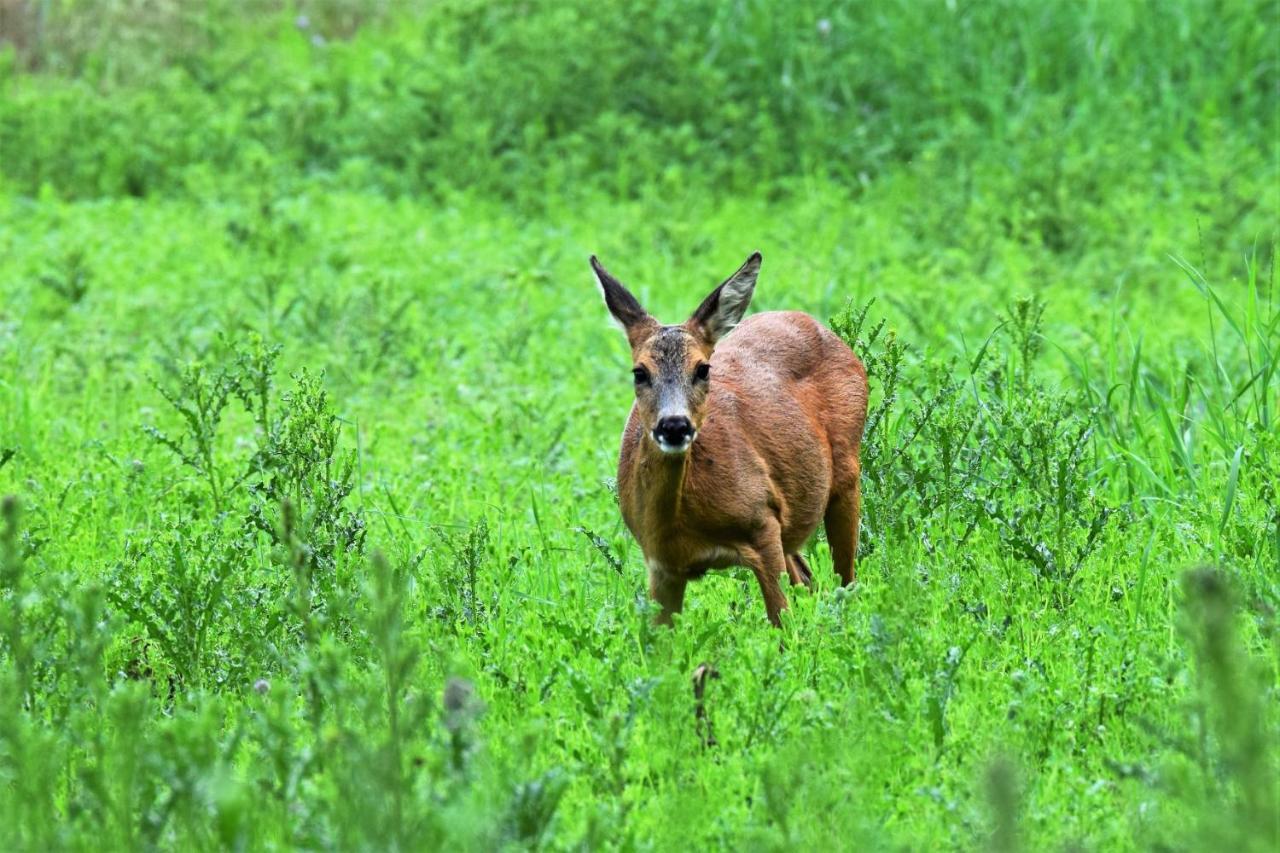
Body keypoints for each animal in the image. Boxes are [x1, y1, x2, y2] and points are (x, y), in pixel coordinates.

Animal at [591, 251, 870, 625]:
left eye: (702, 368)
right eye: (639, 372)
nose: (675, 425)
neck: (683, 522)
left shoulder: (762, 523)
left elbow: (782, 624)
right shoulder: (661, 564)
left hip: (846, 474)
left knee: (845, 582)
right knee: (808, 579)